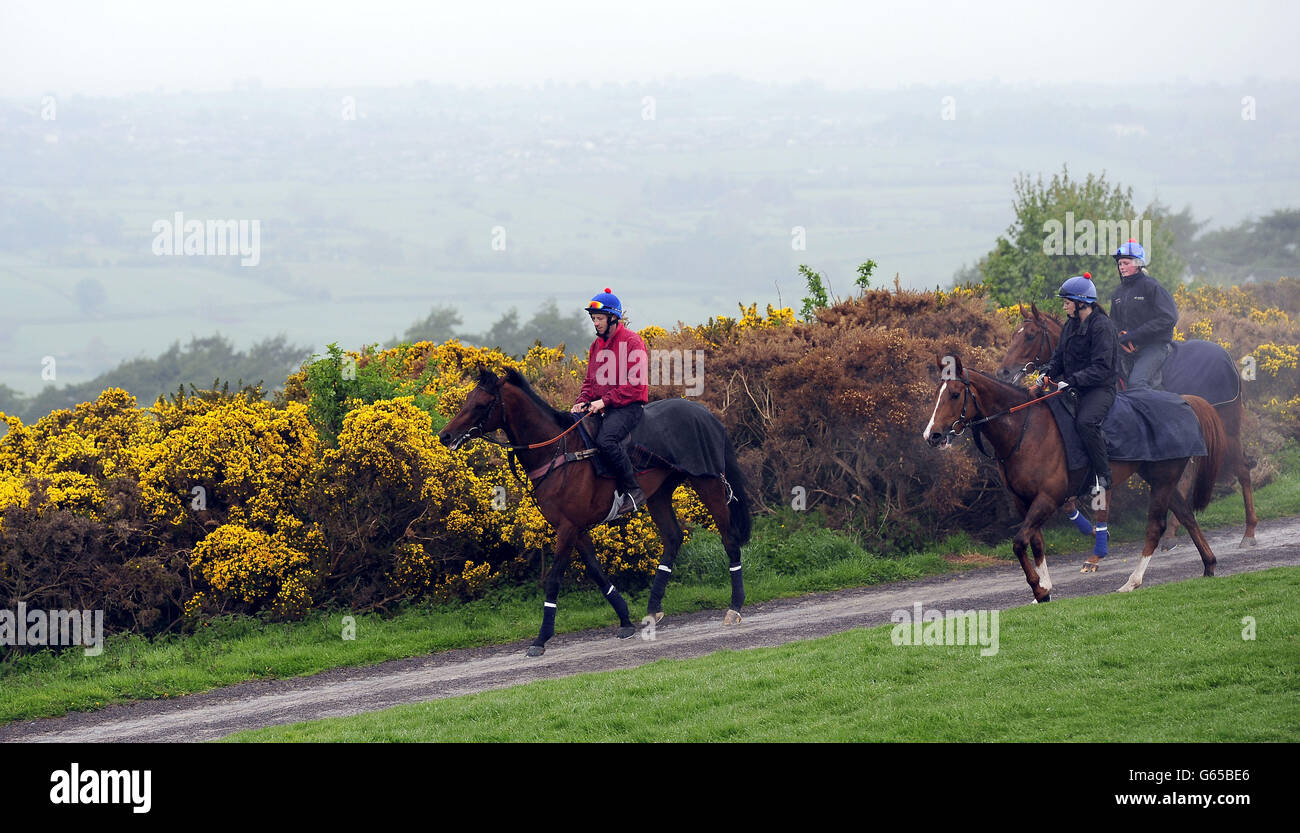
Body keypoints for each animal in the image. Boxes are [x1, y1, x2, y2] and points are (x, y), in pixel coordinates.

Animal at [436, 366, 754, 652]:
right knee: (673, 538)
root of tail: (707, 414)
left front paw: (541, 638)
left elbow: (554, 579)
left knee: (729, 539)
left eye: (480, 404)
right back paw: (653, 609)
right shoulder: (574, 528)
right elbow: (597, 572)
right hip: (660, 493)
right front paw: (625, 620)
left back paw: (735, 607)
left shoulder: (567, 529)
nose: (445, 436)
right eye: (467, 399)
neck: (559, 452)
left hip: (708, 483)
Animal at [920, 353, 1222, 600]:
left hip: (1162, 480)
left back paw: (1132, 581)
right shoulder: (1024, 501)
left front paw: (1039, 588)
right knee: (1186, 515)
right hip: (1159, 478)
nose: (931, 435)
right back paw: (1208, 565)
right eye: (937, 392)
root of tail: (1183, 400)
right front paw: (1045, 589)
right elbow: (1036, 543)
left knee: (1156, 526)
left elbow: (1019, 542)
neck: (1024, 429)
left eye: (955, 394)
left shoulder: (1047, 498)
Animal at [993, 301, 1258, 556]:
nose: (1003, 371)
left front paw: (1097, 550)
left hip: (1228, 429)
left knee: (1242, 470)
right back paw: (1172, 534)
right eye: (1014, 335)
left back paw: (1249, 532)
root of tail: (1227, 357)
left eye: (1030, 335)